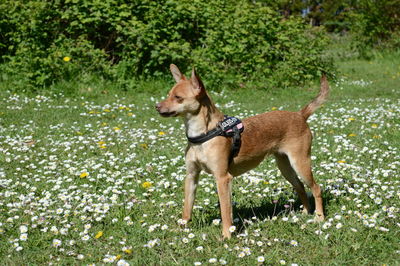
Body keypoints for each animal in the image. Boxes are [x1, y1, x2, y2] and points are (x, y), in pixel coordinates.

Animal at [155, 65, 326, 239]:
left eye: (178, 97)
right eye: (168, 95)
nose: (157, 106)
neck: (204, 133)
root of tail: (300, 115)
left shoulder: (223, 179)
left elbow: (225, 212)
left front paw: (226, 235)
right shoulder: (191, 176)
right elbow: (187, 207)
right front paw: (181, 228)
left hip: (300, 163)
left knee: (316, 188)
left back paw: (319, 217)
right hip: (285, 166)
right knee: (300, 186)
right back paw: (306, 212)